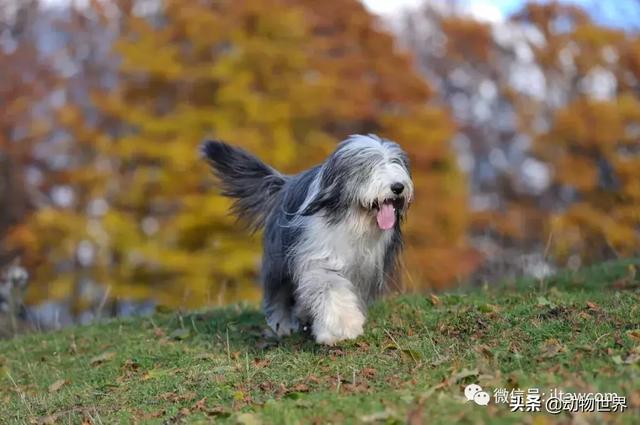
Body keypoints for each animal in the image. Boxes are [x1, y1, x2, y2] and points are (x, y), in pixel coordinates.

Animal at [201, 134, 416, 342]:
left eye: (396, 162)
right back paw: (283, 324)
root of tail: (284, 183)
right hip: (278, 259)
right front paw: (342, 326)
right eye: (368, 167)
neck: (353, 222)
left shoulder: (366, 269)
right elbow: (330, 287)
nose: (398, 187)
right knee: (279, 292)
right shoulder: (318, 255)